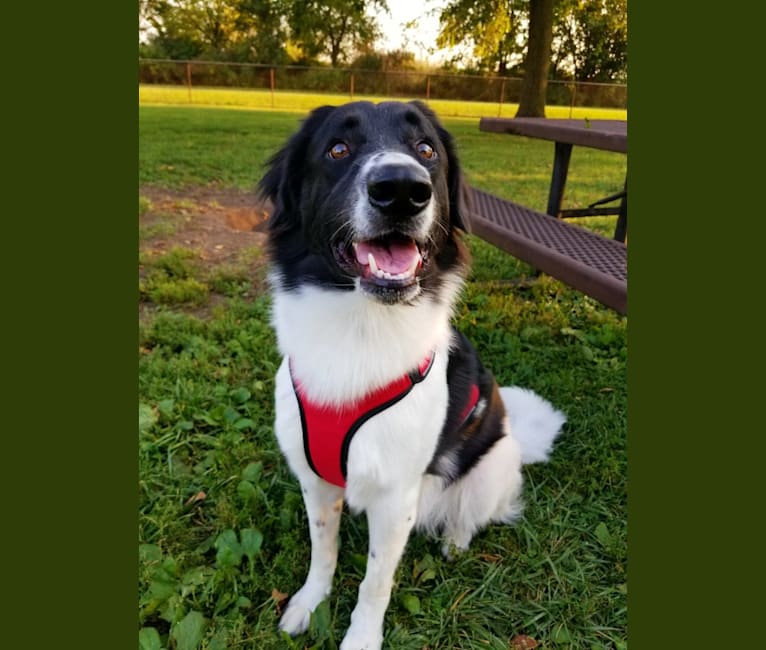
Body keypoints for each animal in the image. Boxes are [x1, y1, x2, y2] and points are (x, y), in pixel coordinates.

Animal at [260, 101, 568, 648]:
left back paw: (455, 540)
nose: (403, 189)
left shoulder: (396, 497)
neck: (360, 331)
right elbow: (323, 550)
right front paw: (310, 602)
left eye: (426, 150)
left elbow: (375, 582)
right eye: (337, 149)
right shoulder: (315, 480)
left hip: (488, 468)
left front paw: (361, 639)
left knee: (475, 511)